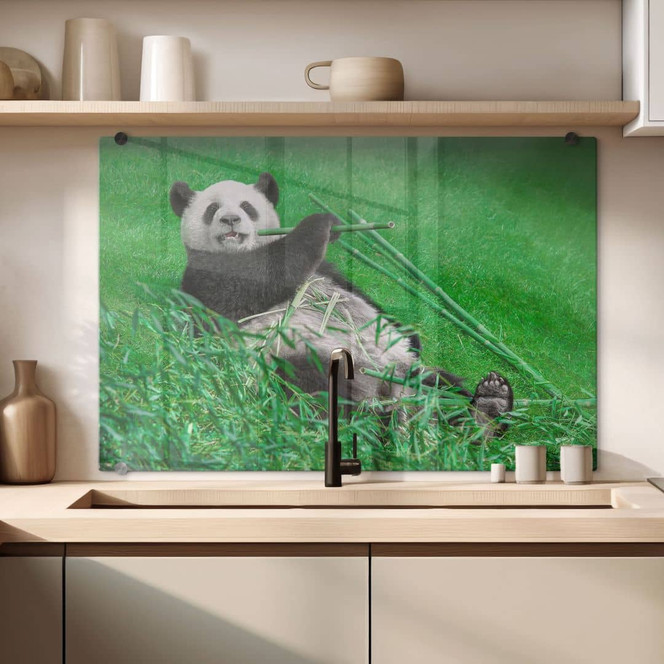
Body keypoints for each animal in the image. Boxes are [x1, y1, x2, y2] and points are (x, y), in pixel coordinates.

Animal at [169, 171, 513, 440]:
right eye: (212, 208)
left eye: (246, 207)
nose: (230, 220)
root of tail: (385, 392)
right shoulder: (208, 277)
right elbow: (256, 281)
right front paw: (322, 224)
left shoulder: (330, 273)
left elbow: (366, 300)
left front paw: (413, 336)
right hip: (295, 355)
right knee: (315, 389)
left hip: (404, 368)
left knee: (442, 388)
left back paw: (487, 409)